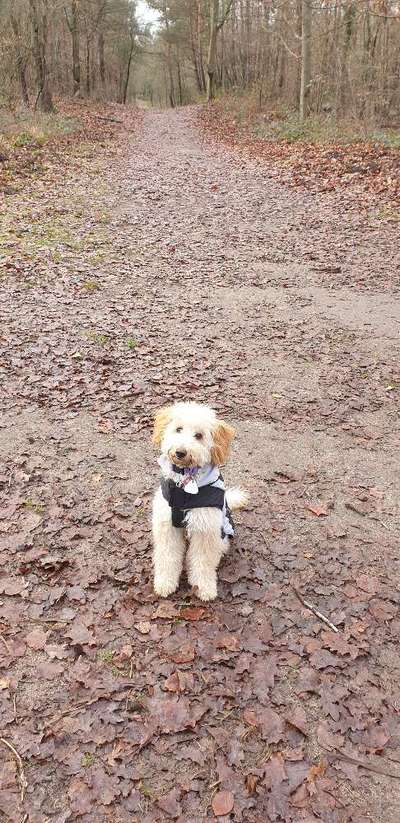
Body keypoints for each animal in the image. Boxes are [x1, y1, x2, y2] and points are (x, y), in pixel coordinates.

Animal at [152, 402, 248, 600]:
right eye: (178, 429)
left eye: (199, 436)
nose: (180, 452)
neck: (184, 487)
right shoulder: (167, 526)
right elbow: (167, 556)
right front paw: (165, 583)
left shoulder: (206, 529)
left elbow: (202, 561)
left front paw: (204, 587)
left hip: (221, 535)